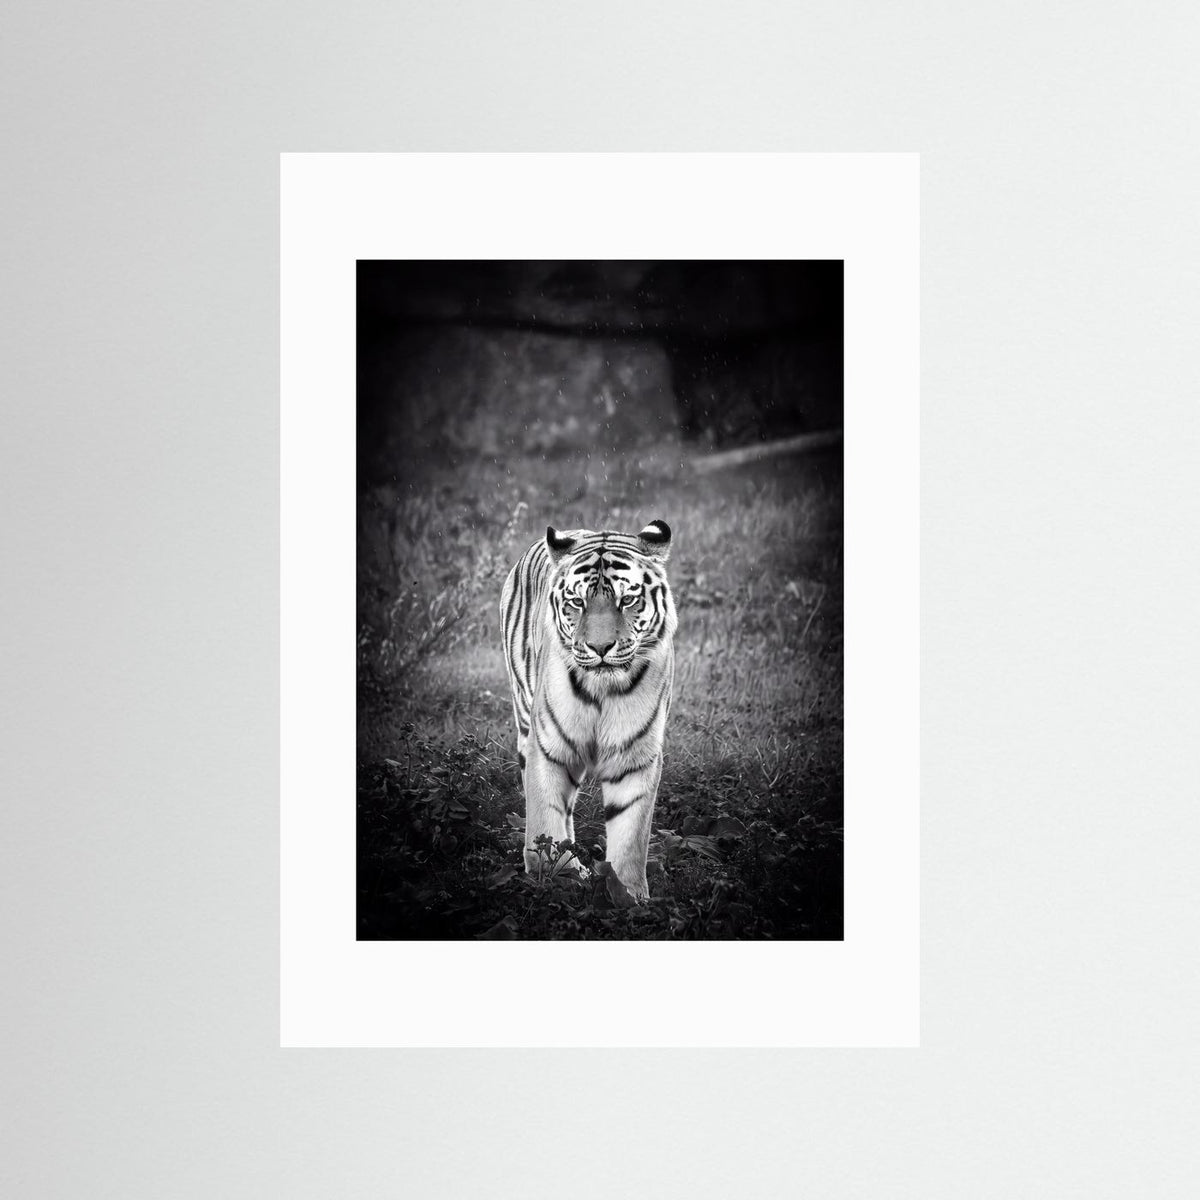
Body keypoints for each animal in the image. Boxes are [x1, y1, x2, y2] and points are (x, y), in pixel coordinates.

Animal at [499, 519, 677, 900]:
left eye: (627, 600)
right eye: (577, 602)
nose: (600, 647)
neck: (602, 690)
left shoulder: (635, 756)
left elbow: (631, 833)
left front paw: (628, 895)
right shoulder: (548, 747)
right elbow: (545, 815)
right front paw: (555, 876)